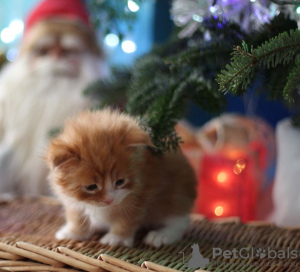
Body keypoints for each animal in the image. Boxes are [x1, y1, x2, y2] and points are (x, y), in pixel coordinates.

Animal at [45, 109, 197, 248]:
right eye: (91, 187)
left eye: (120, 182)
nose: (109, 200)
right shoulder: (72, 200)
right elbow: (76, 216)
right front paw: (74, 232)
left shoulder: (140, 196)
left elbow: (126, 219)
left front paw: (117, 238)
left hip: (175, 197)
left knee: (180, 222)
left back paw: (161, 235)